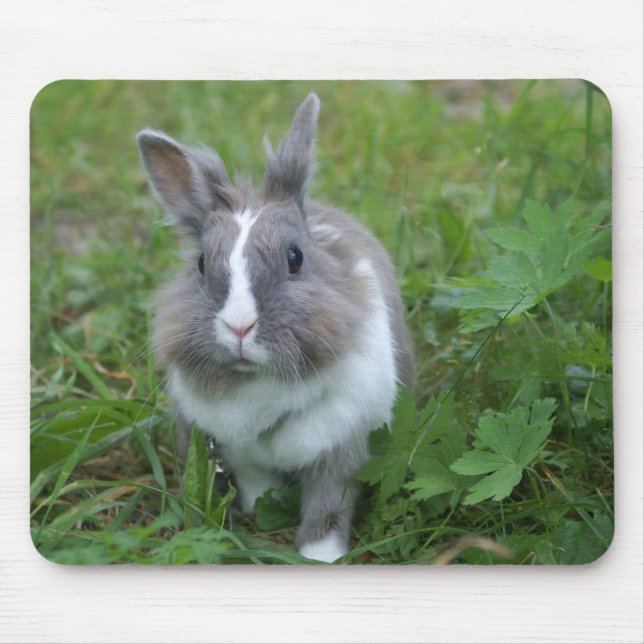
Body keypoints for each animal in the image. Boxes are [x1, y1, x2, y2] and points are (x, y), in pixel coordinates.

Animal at [137, 93, 415, 563]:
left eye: (295, 258)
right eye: (201, 264)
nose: (240, 327)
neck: (263, 384)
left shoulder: (340, 450)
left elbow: (327, 507)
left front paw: (320, 557)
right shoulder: (241, 455)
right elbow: (258, 487)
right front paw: (262, 511)